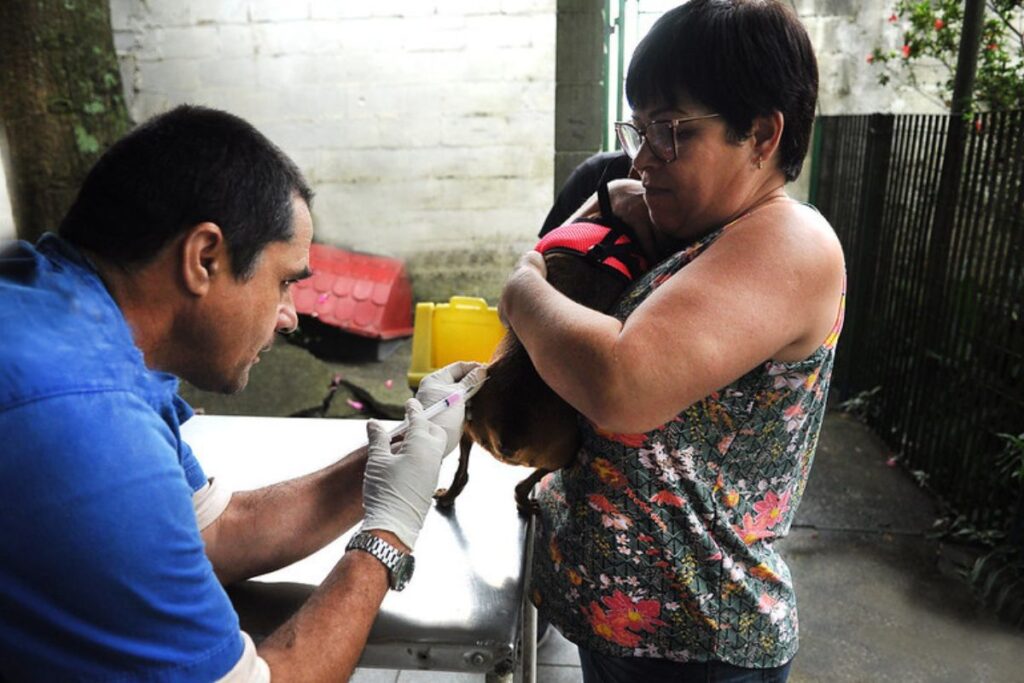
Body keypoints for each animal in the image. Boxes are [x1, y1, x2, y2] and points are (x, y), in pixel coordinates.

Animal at [436, 179, 651, 509]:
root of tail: (510, 434)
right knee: (498, 479)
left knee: (469, 474)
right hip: (559, 450)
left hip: (477, 428)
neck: (613, 232)